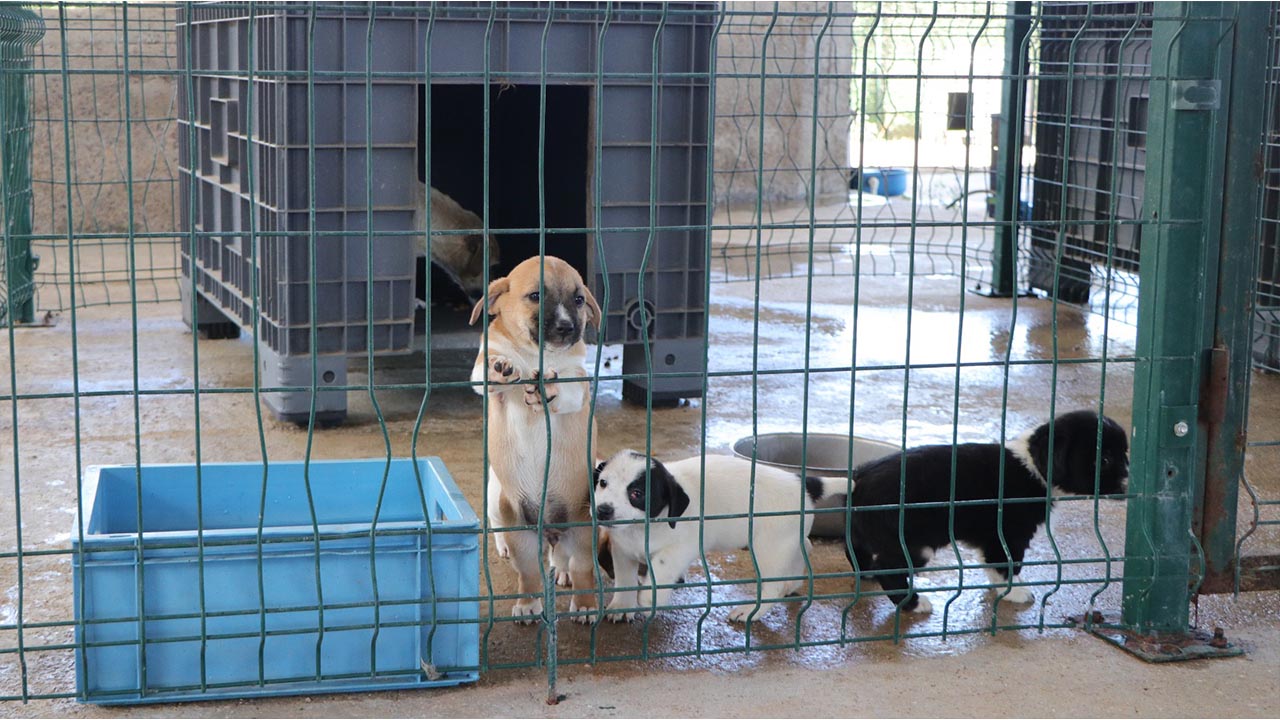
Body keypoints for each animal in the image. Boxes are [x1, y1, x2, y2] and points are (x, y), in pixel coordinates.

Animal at [471, 254, 604, 620]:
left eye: (578, 300)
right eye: (535, 296)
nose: (567, 328)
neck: (535, 355)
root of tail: (551, 531)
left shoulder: (579, 382)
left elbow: (567, 389)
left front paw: (549, 390)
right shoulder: (483, 370)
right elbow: (483, 373)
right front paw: (500, 368)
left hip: (583, 529)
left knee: (580, 569)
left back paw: (584, 603)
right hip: (508, 511)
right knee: (528, 570)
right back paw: (528, 603)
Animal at [593, 450, 855, 620]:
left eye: (637, 493)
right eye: (603, 483)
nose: (603, 510)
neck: (640, 529)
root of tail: (802, 483)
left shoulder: (679, 550)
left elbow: (659, 570)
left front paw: (649, 601)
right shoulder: (622, 550)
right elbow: (624, 579)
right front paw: (621, 606)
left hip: (769, 549)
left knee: (773, 588)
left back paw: (751, 612)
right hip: (786, 541)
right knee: (806, 547)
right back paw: (792, 583)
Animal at [839, 409, 1131, 609]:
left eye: (1124, 454)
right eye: (1105, 459)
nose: (1131, 484)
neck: (1034, 468)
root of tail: (859, 481)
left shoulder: (993, 539)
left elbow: (993, 564)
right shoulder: (1009, 535)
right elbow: (1007, 564)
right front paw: (1015, 593)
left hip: (864, 534)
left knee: (856, 551)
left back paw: (867, 575)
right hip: (913, 544)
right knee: (890, 569)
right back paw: (914, 604)